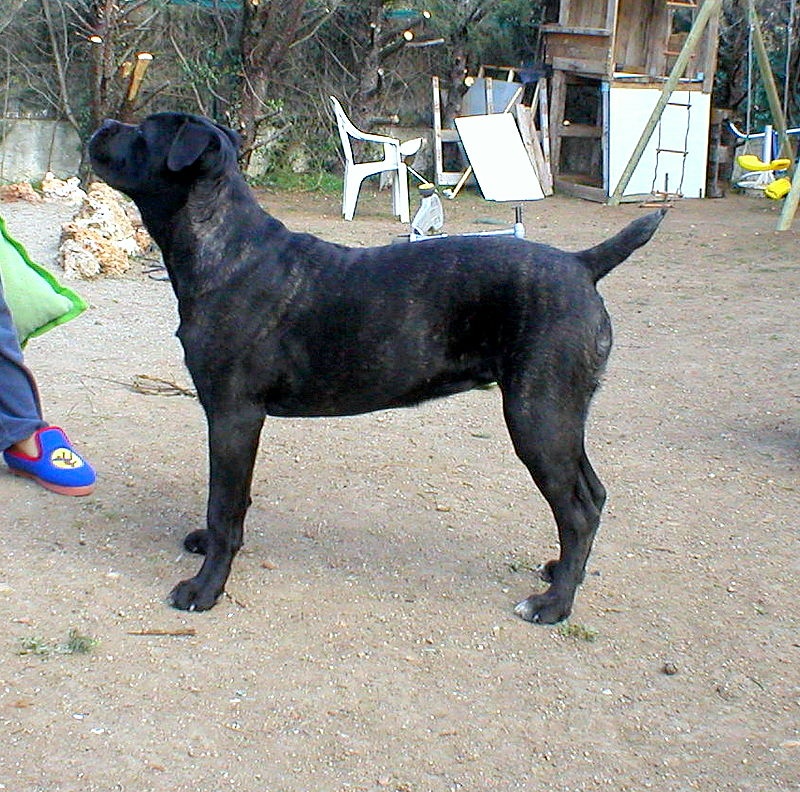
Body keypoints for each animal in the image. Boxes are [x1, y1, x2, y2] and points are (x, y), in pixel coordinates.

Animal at [89, 111, 665, 623]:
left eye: (143, 131)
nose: (104, 125)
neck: (222, 242)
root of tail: (582, 264)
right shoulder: (236, 422)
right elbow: (233, 497)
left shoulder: (233, 414)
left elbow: (224, 503)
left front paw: (206, 588)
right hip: (559, 416)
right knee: (592, 494)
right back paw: (564, 572)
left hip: (536, 417)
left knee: (578, 509)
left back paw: (553, 605)